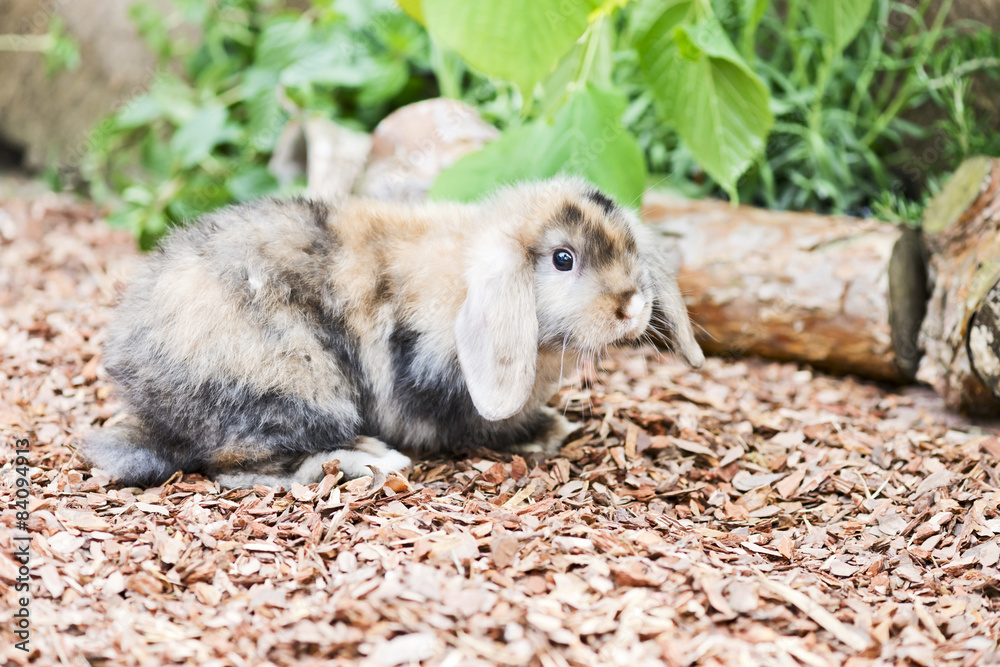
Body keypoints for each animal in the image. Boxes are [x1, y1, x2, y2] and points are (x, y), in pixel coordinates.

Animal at [82, 176, 704, 488]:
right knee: (242, 466)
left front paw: (550, 426)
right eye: (563, 259)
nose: (633, 304)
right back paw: (369, 460)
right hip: (297, 383)